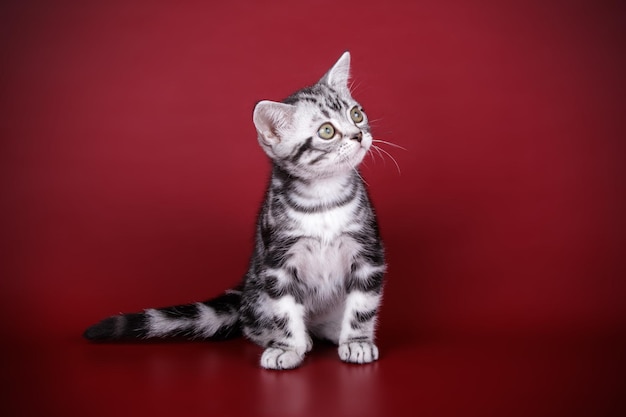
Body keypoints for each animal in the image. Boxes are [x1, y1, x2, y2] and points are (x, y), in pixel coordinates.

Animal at [84, 51, 386, 368]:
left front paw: (357, 342)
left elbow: (362, 307)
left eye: (356, 114)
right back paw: (295, 339)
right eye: (327, 131)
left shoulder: (368, 253)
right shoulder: (277, 264)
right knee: (252, 324)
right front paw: (287, 347)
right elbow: (284, 310)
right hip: (259, 286)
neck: (323, 198)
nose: (358, 135)